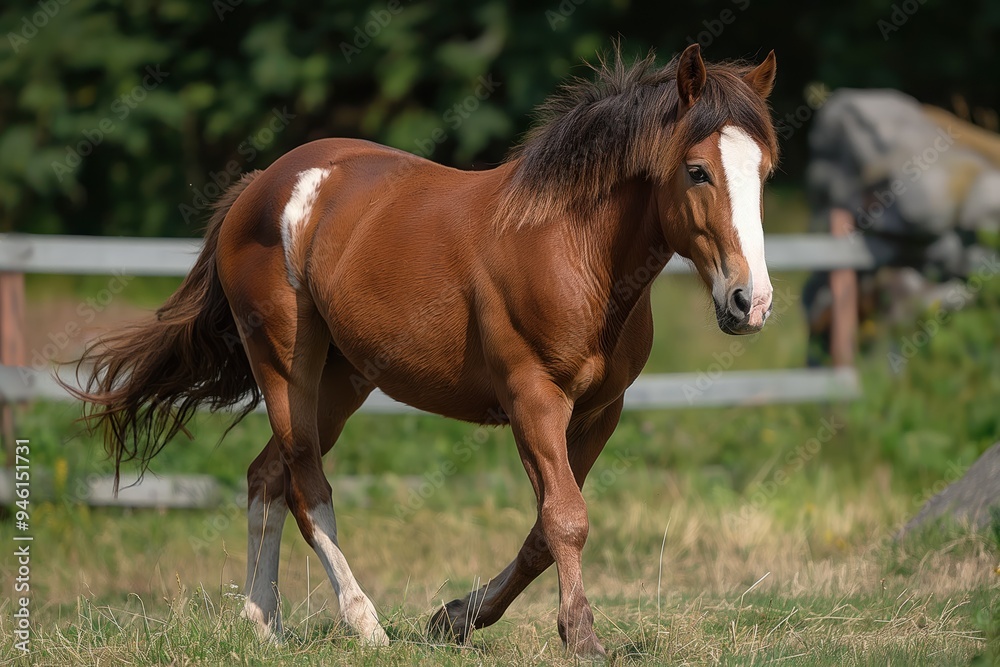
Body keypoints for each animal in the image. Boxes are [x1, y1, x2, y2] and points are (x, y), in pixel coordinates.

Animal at [67, 43, 778, 658]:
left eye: (764, 173)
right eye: (697, 171)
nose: (751, 302)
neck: (572, 249)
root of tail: (263, 185)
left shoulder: (600, 412)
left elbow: (542, 531)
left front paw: (454, 619)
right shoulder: (533, 399)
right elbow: (565, 518)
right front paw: (582, 639)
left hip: (343, 380)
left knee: (266, 475)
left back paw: (263, 623)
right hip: (283, 364)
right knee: (305, 485)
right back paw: (365, 625)